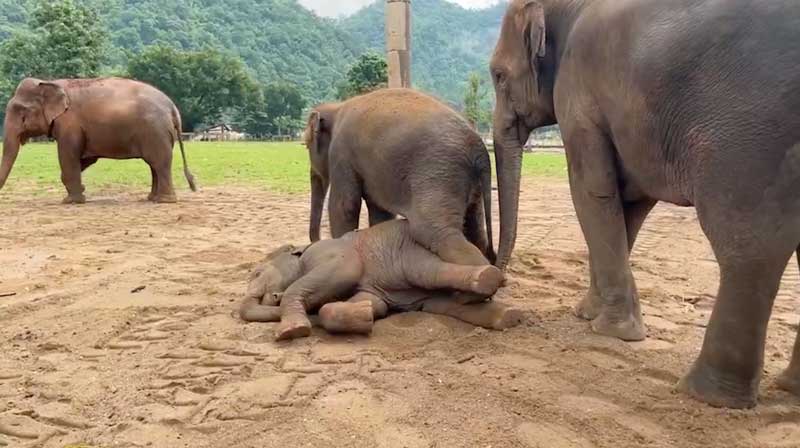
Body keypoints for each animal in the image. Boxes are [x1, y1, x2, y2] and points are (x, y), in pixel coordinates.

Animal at [0, 77, 197, 203]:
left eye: (21, 112)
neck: (50, 82)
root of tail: (172, 107)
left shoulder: (69, 124)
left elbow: (68, 156)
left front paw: (71, 201)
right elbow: (85, 159)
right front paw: (79, 192)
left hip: (156, 132)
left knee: (159, 163)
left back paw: (164, 201)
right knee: (154, 165)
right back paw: (152, 199)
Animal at [241, 220, 520, 340]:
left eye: (256, 273)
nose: (273, 296)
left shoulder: (328, 253)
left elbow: (347, 269)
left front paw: (293, 331)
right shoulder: (370, 289)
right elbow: (372, 302)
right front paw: (365, 314)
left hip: (407, 252)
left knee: (430, 272)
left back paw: (485, 280)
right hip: (426, 292)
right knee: (446, 305)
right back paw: (507, 316)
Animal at [304, 87, 494, 266]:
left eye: (306, 145)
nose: (313, 243)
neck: (337, 107)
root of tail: (479, 146)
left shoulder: (341, 153)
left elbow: (345, 207)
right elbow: (380, 213)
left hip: (440, 171)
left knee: (435, 232)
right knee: (475, 230)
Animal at [490, 0, 800, 408]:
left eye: (497, 76)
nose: (499, 278)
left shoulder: (579, 89)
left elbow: (592, 192)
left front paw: (613, 331)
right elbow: (629, 205)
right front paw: (588, 314)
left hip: (752, 137)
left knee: (748, 246)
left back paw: (705, 394)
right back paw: (788, 386)